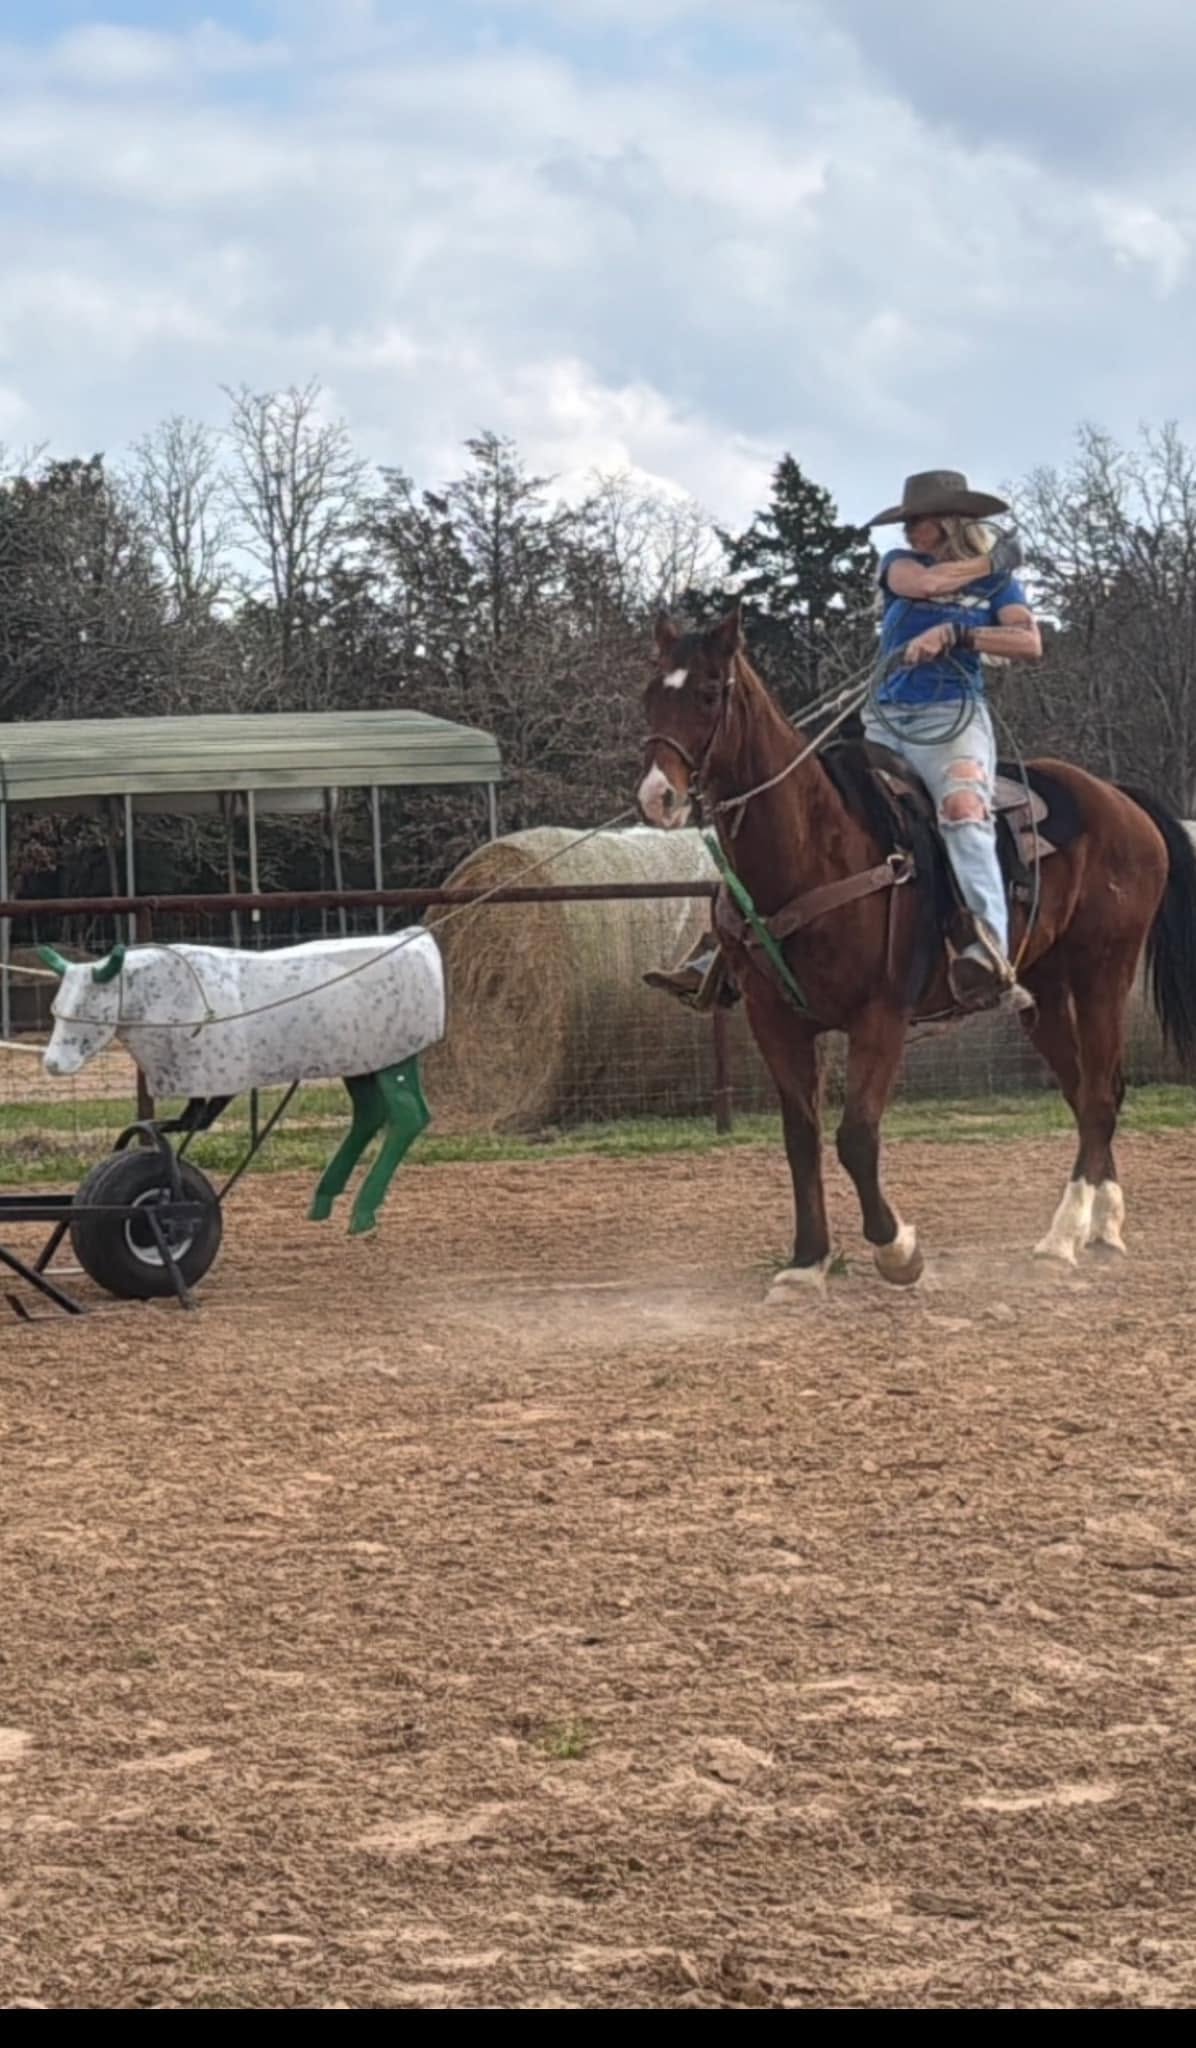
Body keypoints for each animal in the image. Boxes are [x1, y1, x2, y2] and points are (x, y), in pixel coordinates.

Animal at [638, 606, 1196, 1294]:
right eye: (650, 695)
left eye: (711, 692)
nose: (657, 796)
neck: (814, 848)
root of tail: (1119, 798)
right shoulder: (775, 1019)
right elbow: (802, 1136)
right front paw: (806, 1261)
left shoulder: (880, 1016)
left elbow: (856, 1135)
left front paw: (896, 1248)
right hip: (1041, 990)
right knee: (1094, 1091)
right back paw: (1102, 1226)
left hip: (1103, 971)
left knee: (1095, 1096)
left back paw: (1062, 1238)